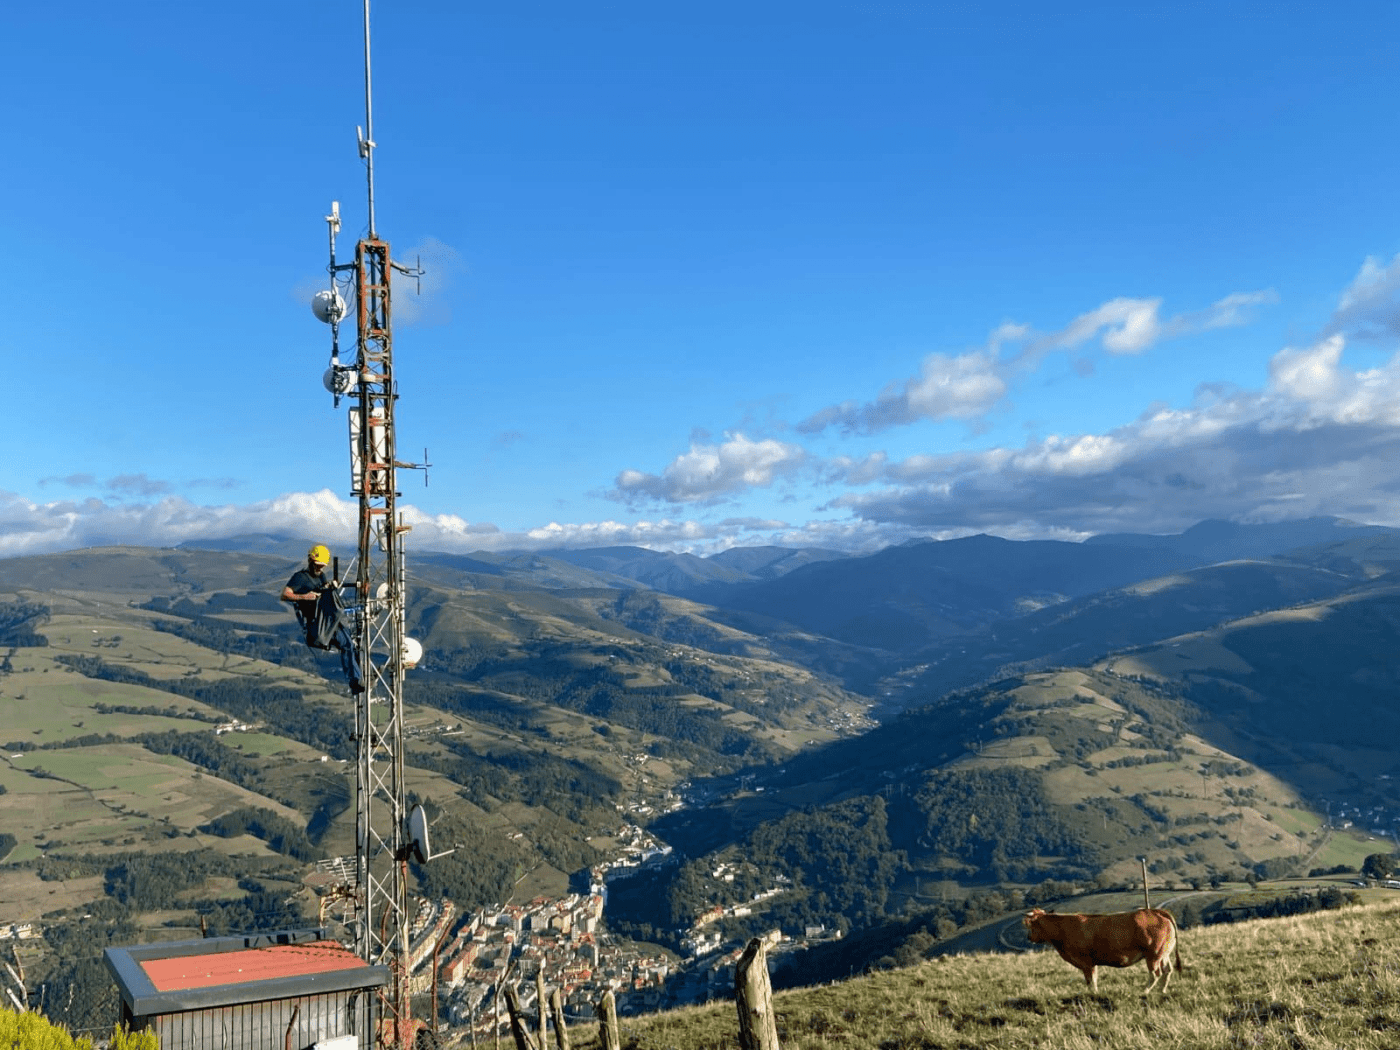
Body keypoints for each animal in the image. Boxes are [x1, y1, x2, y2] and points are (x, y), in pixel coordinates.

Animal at [1019, 907, 1181, 996]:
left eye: (1031, 926)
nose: (1028, 937)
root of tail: (1154, 911)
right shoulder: (1091, 963)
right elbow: (1093, 979)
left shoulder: (1085, 962)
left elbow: (1090, 980)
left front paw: (1093, 994)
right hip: (1163, 953)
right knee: (1167, 970)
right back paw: (1161, 991)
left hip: (1153, 954)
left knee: (1155, 974)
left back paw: (1145, 991)